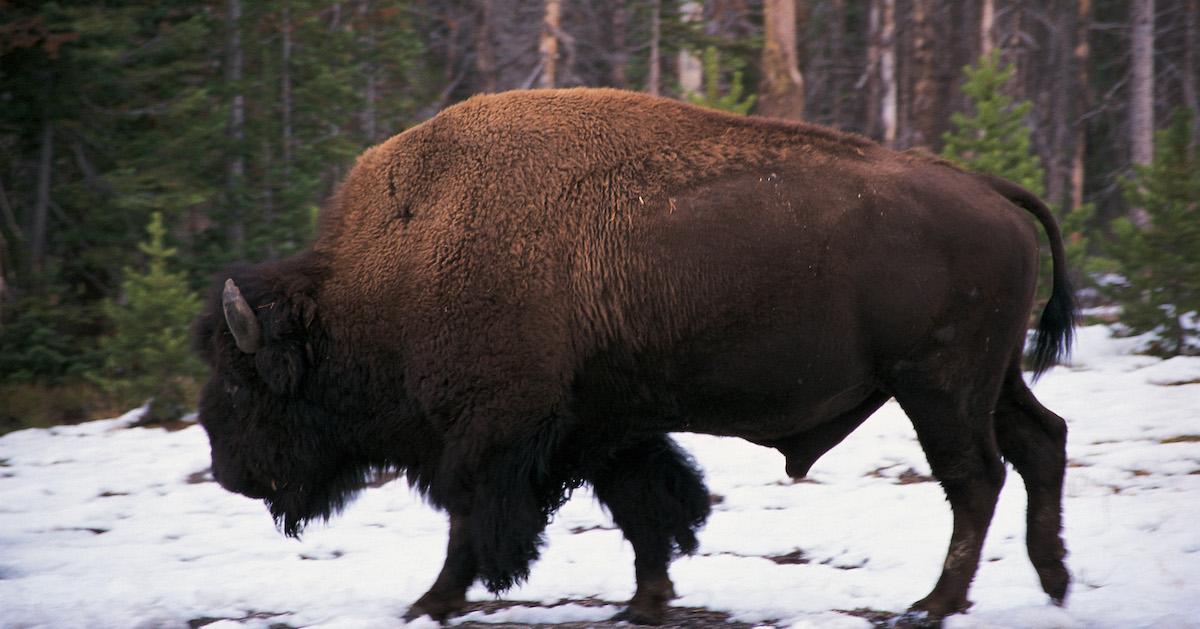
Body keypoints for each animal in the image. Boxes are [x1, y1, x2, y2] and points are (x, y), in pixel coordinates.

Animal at [196, 88, 1080, 624]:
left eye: (243, 386)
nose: (232, 473)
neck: (393, 263)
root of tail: (992, 189)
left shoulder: (493, 432)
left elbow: (471, 522)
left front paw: (430, 601)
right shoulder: (603, 425)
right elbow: (648, 506)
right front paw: (645, 603)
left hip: (937, 385)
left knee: (975, 477)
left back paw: (935, 603)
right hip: (989, 379)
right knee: (1041, 441)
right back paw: (1053, 580)